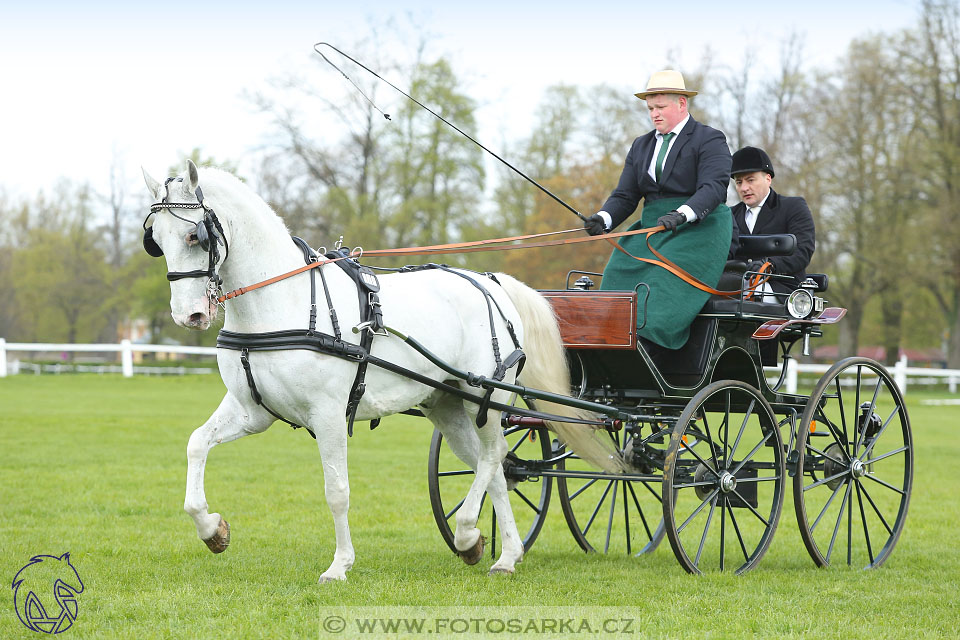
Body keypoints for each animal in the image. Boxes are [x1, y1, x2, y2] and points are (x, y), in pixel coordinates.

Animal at [142, 161, 624, 584]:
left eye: (194, 235)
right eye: (157, 241)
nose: (189, 315)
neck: (284, 300)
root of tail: (491, 282)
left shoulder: (328, 414)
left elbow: (336, 490)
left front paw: (339, 565)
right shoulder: (251, 411)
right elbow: (196, 444)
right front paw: (213, 530)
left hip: (485, 400)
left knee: (494, 457)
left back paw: (468, 532)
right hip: (446, 405)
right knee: (497, 469)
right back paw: (504, 553)